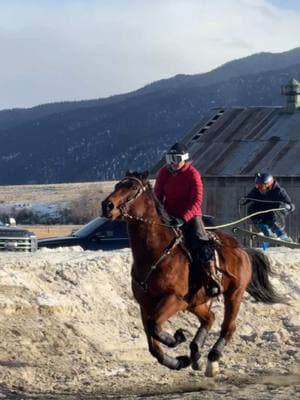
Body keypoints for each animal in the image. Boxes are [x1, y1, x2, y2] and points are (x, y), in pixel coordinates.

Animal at [102, 170, 282, 376]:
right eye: (117, 185)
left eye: (132, 187)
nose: (107, 205)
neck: (156, 253)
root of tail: (242, 249)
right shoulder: (145, 305)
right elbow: (153, 345)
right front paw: (179, 360)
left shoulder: (174, 299)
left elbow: (155, 327)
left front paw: (177, 338)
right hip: (196, 301)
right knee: (210, 318)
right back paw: (195, 353)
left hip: (234, 294)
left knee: (228, 327)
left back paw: (212, 360)